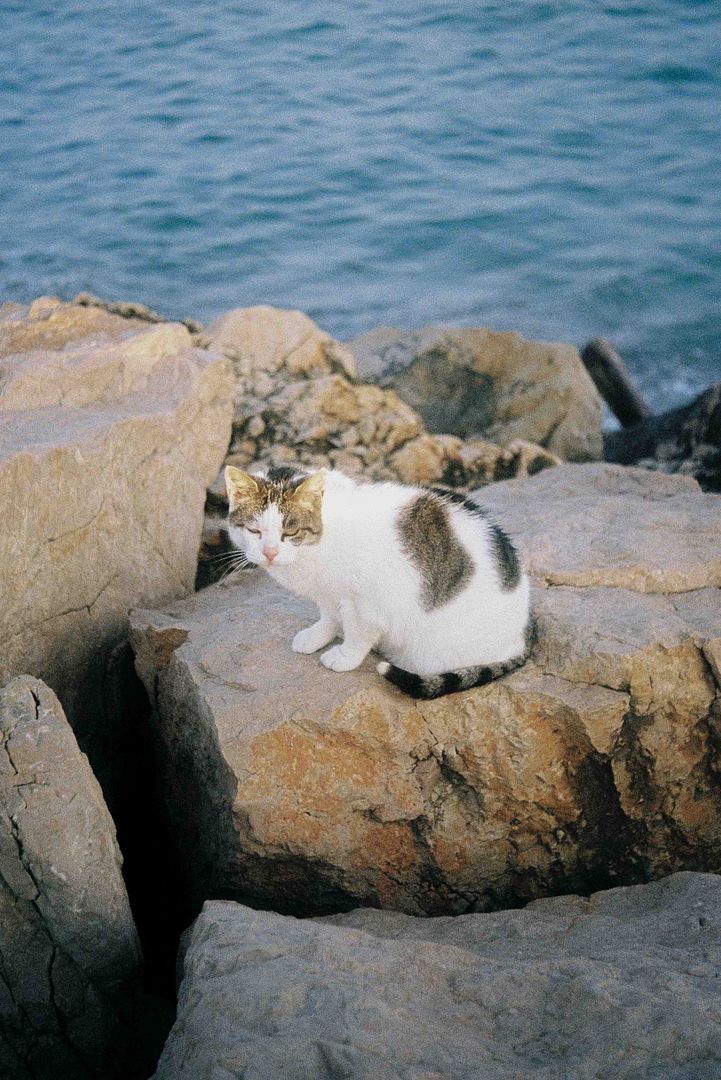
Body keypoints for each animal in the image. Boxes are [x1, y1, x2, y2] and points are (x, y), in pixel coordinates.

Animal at [227, 464, 533, 699]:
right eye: (254, 530)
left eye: (290, 532)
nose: (269, 552)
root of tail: (526, 635)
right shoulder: (328, 593)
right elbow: (328, 617)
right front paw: (317, 636)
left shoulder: (367, 604)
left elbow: (358, 633)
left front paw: (344, 657)